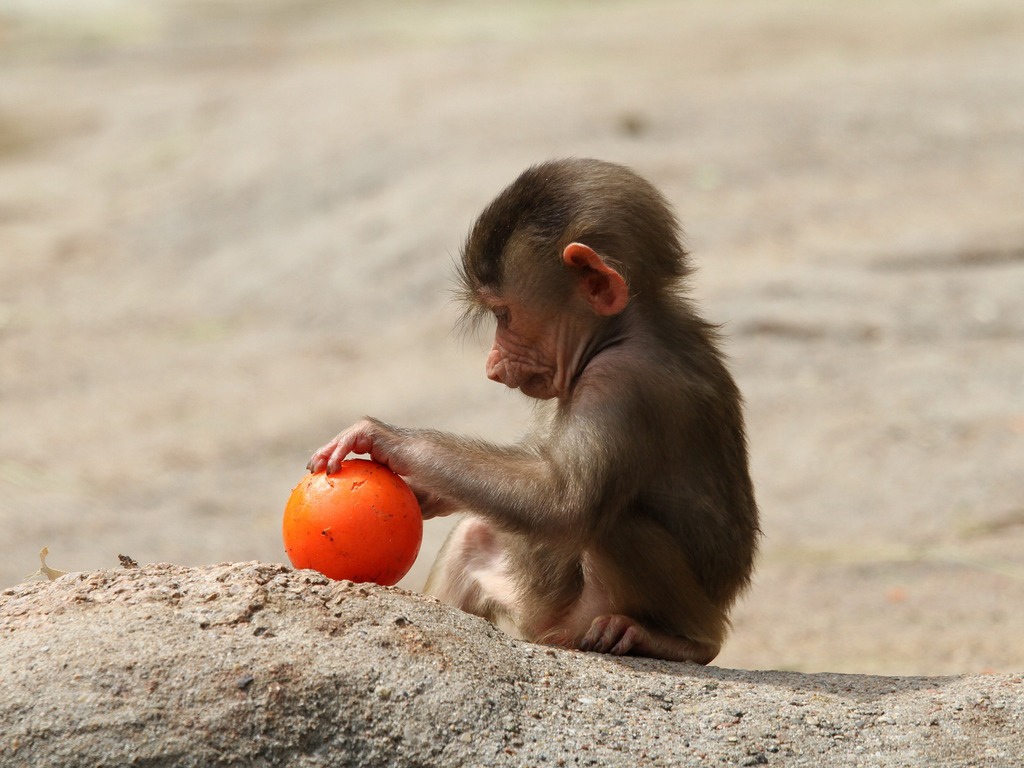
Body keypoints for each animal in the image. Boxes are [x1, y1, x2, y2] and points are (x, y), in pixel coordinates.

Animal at [309, 159, 761, 663]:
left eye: (504, 315)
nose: (490, 366)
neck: (621, 329)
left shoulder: (620, 381)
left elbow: (562, 500)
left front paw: (388, 440)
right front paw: (425, 491)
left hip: (593, 614)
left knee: (613, 523)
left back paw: (679, 639)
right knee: (476, 536)